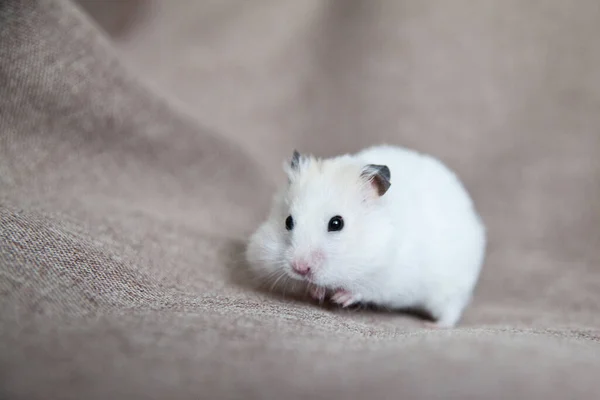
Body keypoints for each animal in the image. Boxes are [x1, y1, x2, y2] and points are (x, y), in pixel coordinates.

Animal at [246, 145, 486, 326]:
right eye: (288, 221)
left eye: (336, 223)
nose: (300, 268)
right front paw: (318, 292)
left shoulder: (386, 276)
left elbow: (363, 289)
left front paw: (340, 298)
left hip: (451, 288)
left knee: (450, 311)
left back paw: (434, 325)